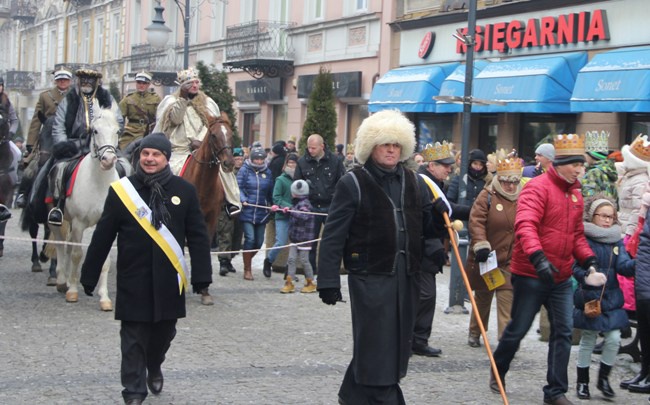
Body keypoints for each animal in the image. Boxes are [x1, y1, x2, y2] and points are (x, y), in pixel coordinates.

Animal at [50, 107, 130, 310]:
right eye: (95, 131)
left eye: (117, 131)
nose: (108, 160)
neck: (99, 182)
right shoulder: (79, 222)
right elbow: (77, 254)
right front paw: (72, 292)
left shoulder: (107, 224)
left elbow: (105, 260)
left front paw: (105, 298)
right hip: (57, 220)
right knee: (61, 243)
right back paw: (62, 281)